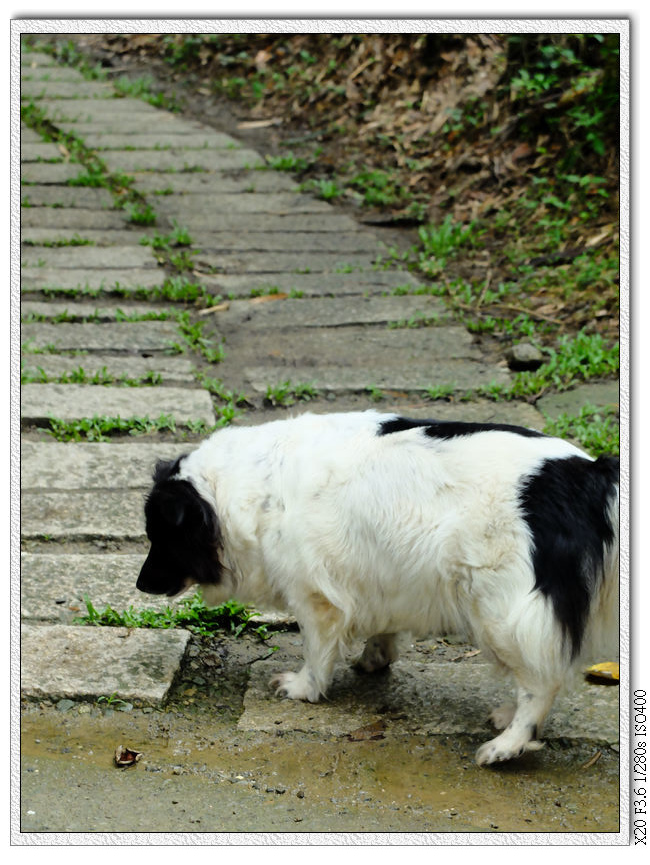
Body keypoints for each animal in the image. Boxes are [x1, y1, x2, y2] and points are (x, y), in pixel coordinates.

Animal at [137, 410, 616, 764]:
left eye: (163, 537)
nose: (139, 584)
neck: (251, 488)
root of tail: (590, 477)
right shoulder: (380, 578)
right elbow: (381, 629)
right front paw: (375, 658)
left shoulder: (315, 597)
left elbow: (315, 651)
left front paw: (303, 688)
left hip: (501, 612)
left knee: (541, 682)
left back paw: (509, 743)